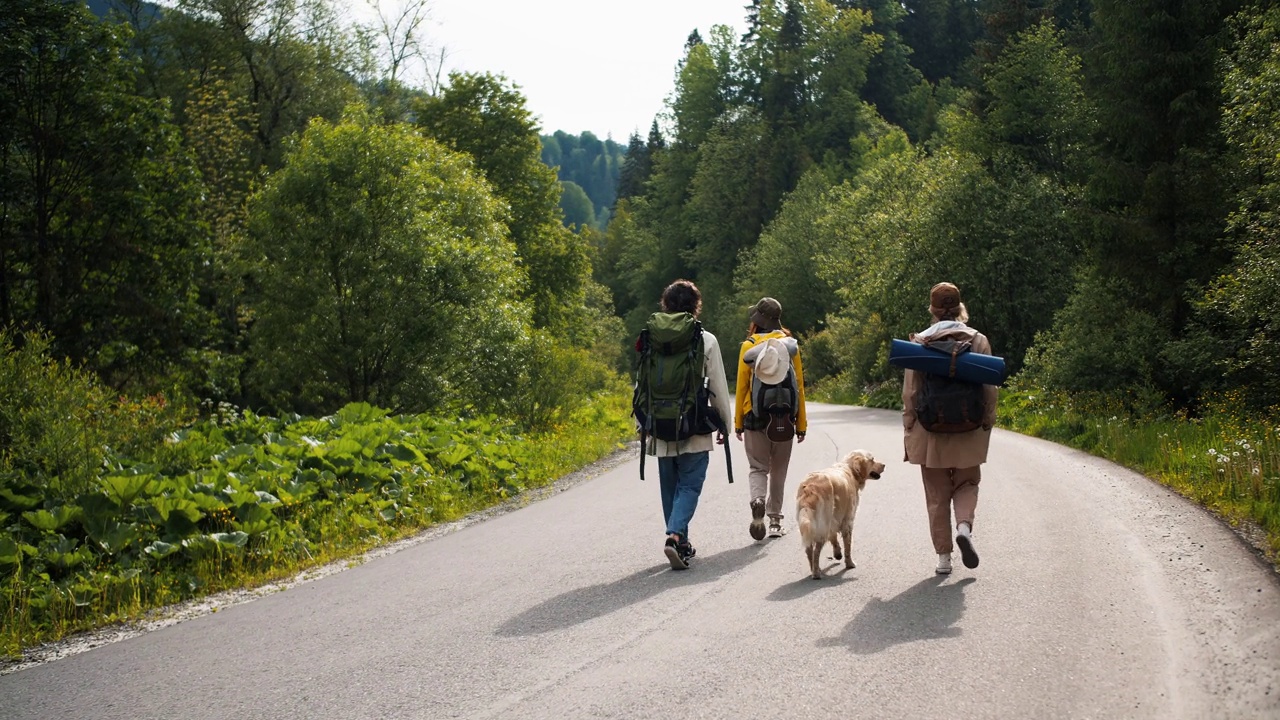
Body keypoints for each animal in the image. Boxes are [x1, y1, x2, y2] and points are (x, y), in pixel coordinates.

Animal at [793, 448, 885, 576]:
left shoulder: (835, 517)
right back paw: (816, 573)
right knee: (816, 551)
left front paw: (837, 553)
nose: (884, 465)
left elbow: (834, 537)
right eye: (872, 459)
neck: (850, 470)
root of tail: (810, 486)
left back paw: (814, 569)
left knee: (808, 549)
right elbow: (848, 545)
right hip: (823, 525)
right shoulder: (848, 520)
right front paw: (849, 563)